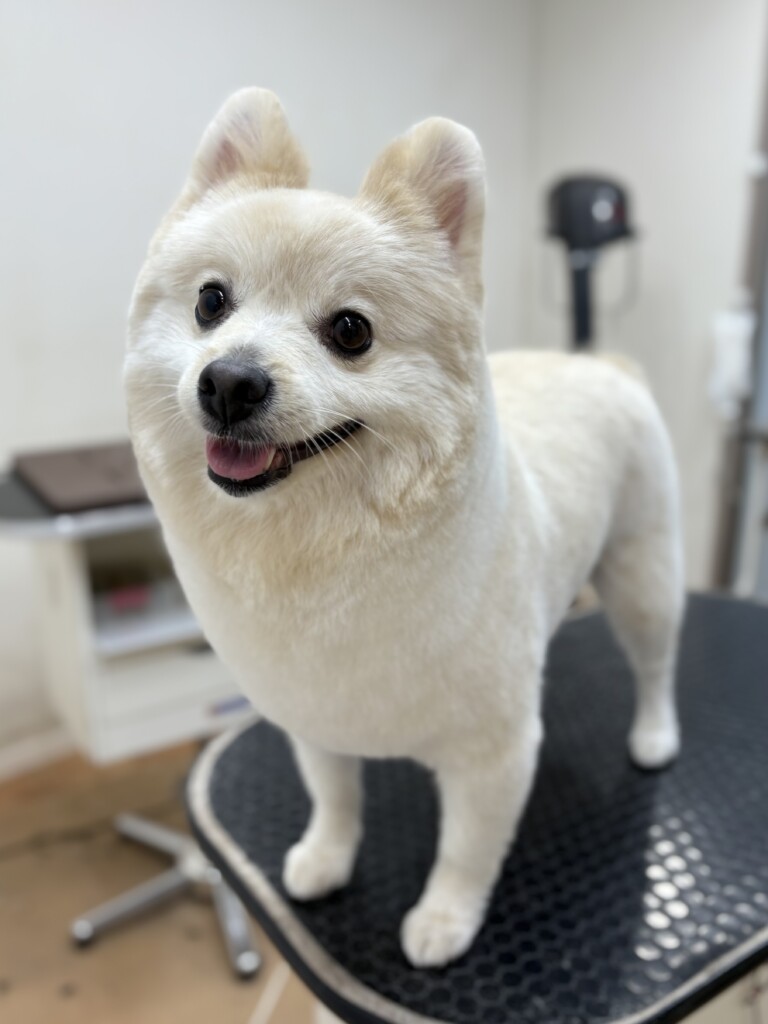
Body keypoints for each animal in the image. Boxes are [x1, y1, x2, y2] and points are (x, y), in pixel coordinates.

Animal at [125, 88, 684, 968]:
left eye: (350, 331)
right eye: (211, 303)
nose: (229, 381)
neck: (322, 552)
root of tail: (601, 363)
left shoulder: (493, 755)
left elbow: (466, 850)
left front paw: (445, 919)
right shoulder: (316, 718)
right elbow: (334, 798)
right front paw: (326, 857)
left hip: (642, 572)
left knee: (656, 662)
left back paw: (656, 735)